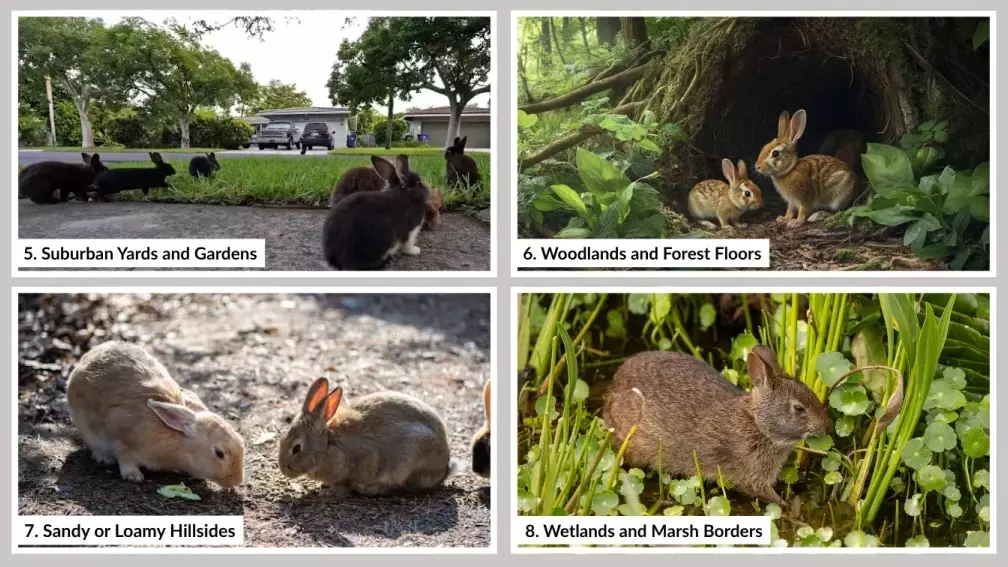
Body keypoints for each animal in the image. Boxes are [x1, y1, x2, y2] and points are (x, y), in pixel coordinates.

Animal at [65, 341, 245, 488]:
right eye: (219, 453)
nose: (237, 481)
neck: (180, 441)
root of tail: (88, 356)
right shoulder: (124, 441)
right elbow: (124, 457)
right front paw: (134, 476)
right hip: (86, 429)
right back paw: (104, 458)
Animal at [278, 378, 461, 496]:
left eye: (296, 448)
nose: (283, 470)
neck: (328, 444)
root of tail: (444, 469)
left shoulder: (364, 460)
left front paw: (330, 492)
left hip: (410, 458)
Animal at [602, 345, 832, 506]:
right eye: (799, 409)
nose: (826, 426)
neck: (758, 425)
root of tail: (613, 391)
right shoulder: (753, 476)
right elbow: (767, 494)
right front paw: (787, 505)